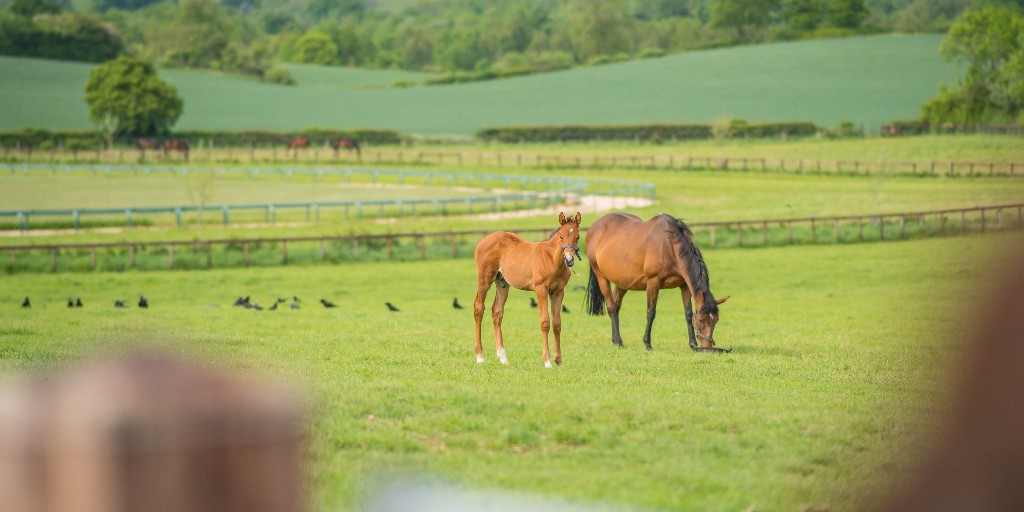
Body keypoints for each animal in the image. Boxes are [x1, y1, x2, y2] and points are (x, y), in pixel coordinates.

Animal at [473, 212, 583, 367]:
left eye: (577, 237)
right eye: (561, 236)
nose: (569, 259)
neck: (551, 259)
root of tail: (482, 241)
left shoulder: (558, 292)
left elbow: (557, 324)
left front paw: (559, 361)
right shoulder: (541, 289)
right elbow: (545, 322)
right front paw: (547, 361)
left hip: (502, 283)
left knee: (497, 312)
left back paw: (503, 358)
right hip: (484, 280)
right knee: (478, 308)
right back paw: (480, 356)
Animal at [584, 212, 730, 352]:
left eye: (716, 319)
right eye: (700, 319)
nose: (707, 347)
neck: (669, 246)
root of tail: (594, 227)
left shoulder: (684, 285)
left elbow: (688, 313)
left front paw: (693, 344)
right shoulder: (653, 282)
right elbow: (651, 313)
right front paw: (647, 344)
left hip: (623, 282)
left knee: (616, 305)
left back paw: (616, 341)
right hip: (601, 276)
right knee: (612, 306)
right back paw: (618, 341)